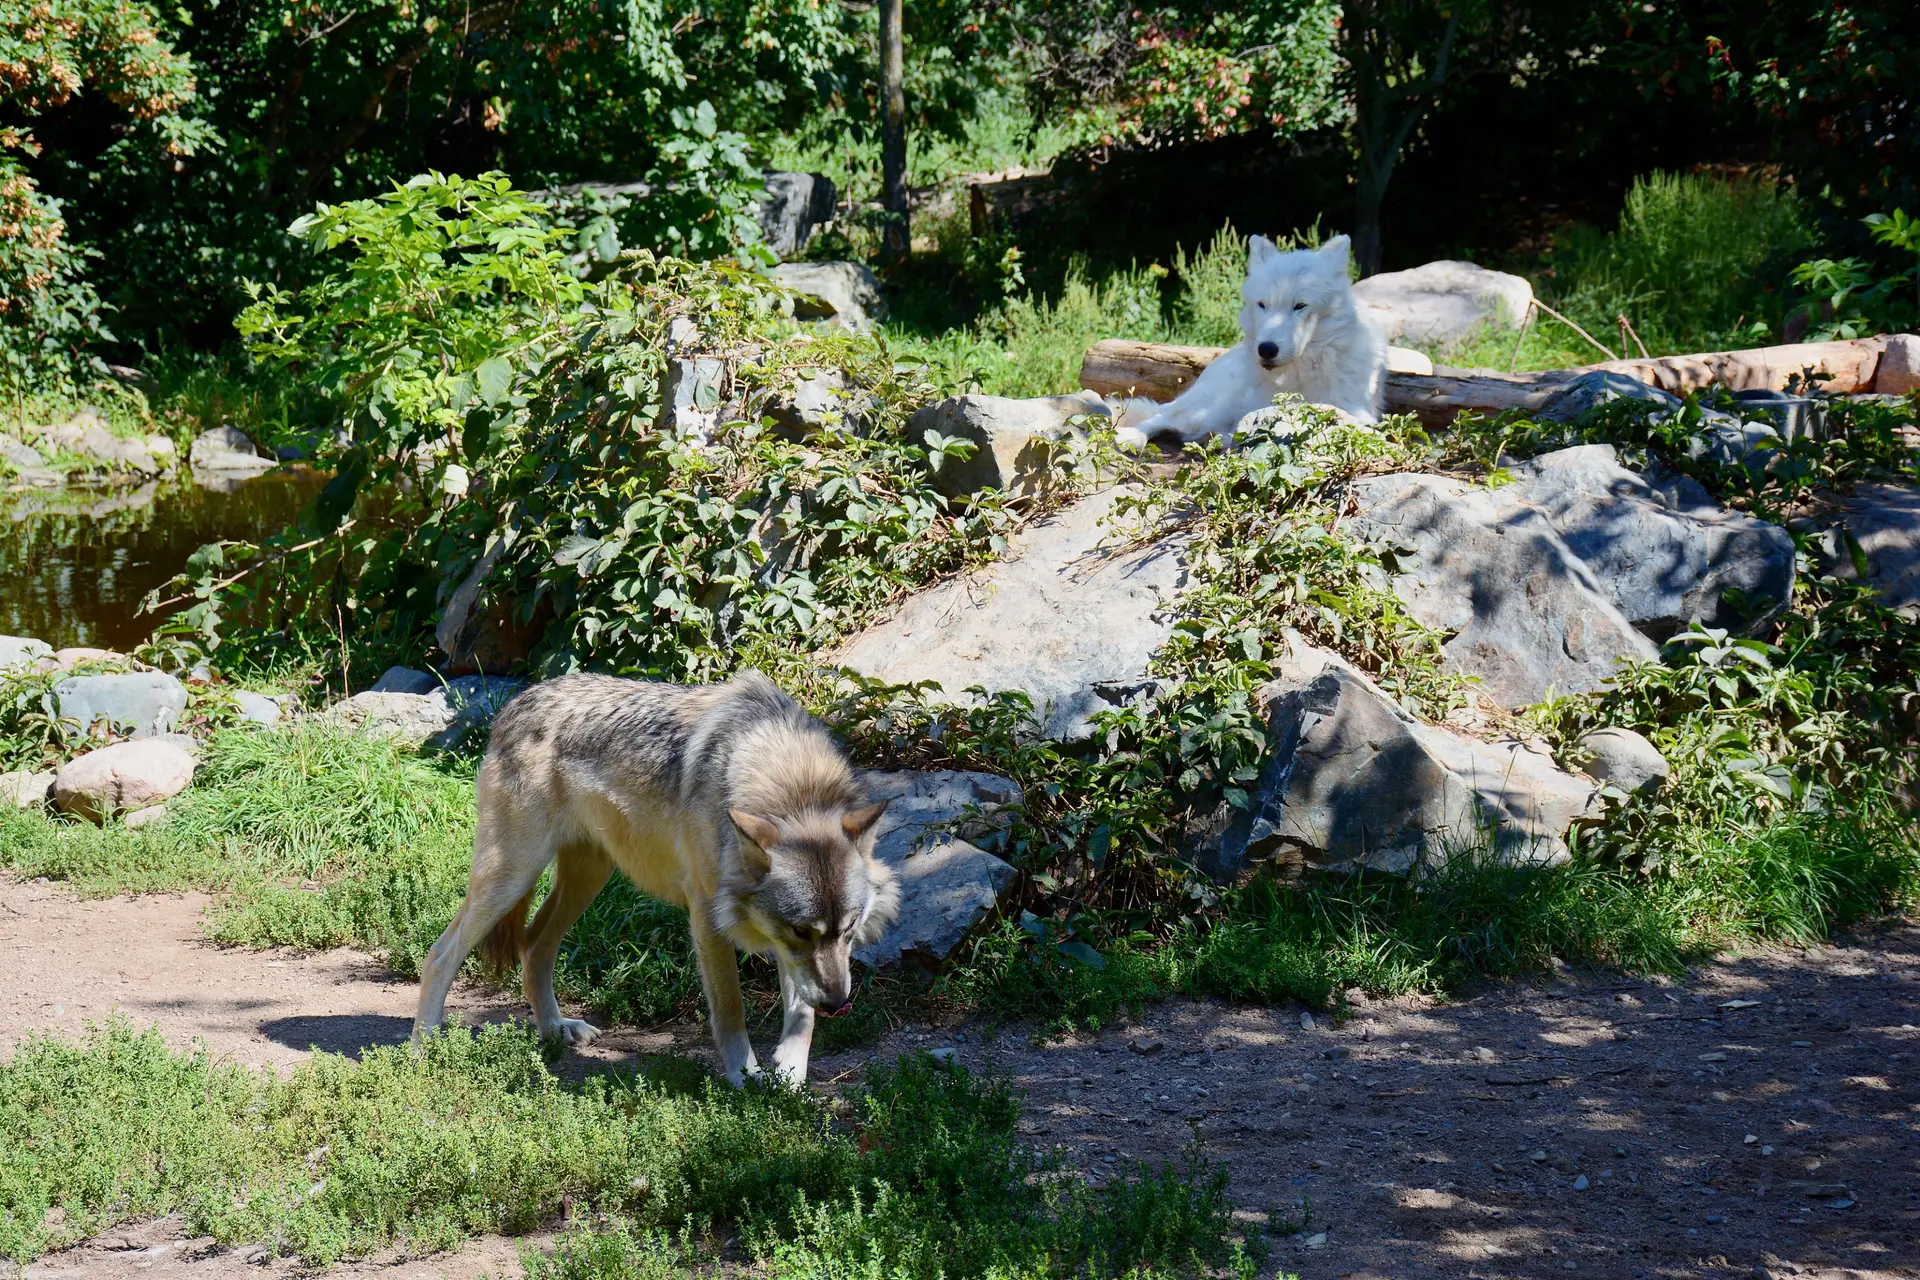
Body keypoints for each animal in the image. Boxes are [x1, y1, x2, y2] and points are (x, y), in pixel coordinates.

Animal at [411, 670, 898, 1088]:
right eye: (800, 930)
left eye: (850, 930)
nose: (838, 1004)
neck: (791, 784)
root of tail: (515, 702)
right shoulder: (709, 918)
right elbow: (730, 1010)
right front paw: (746, 1077)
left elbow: (801, 1014)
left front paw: (791, 1076)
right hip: (511, 876)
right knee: (440, 953)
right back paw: (425, 1048)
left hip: (588, 879)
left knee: (533, 946)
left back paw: (555, 1029)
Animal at [1115, 233, 1386, 449]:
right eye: (1262, 305)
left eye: (1300, 306)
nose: (1266, 349)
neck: (1296, 376)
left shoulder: (1359, 414)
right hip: (1204, 409)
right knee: (1162, 416)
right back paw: (1131, 437)